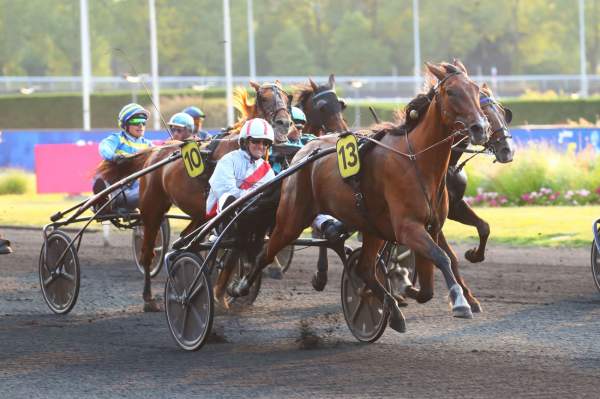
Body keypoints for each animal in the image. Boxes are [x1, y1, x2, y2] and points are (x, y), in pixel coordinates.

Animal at [96, 81, 292, 312]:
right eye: (263, 97)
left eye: (287, 97)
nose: (284, 123)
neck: (240, 150)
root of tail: (154, 153)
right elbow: (231, 249)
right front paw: (219, 294)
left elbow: (238, 249)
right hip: (152, 208)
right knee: (148, 252)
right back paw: (149, 298)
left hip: (199, 215)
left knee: (184, 240)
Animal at [227, 62, 490, 324]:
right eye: (452, 92)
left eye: (476, 90)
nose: (481, 128)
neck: (416, 160)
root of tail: (303, 152)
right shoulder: (408, 228)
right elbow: (443, 257)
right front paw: (459, 300)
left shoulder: (432, 227)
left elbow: (430, 284)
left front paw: (408, 287)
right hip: (291, 220)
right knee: (266, 252)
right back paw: (240, 286)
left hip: (372, 226)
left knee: (364, 267)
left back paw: (391, 309)